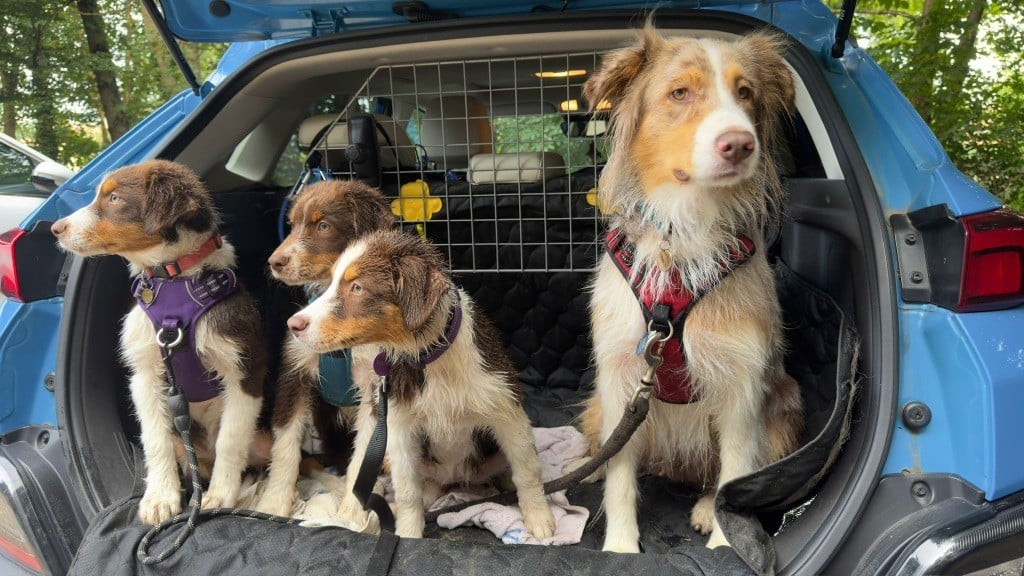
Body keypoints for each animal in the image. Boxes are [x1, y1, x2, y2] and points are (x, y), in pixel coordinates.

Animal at [50, 158, 268, 522]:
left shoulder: (245, 369)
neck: (174, 280)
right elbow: (155, 437)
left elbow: (231, 438)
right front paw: (160, 498)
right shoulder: (145, 373)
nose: (56, 228)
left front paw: (221, 495)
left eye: (114, 199)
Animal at [258, 180, 393, 516]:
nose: (275, 262)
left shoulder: (375, 385)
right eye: (292, 224)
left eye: (323, 225)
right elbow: (285, 443)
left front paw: (352, 514)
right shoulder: (294, 373)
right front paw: (275, 501)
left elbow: (366, 453)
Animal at [284, 228, 557, 537]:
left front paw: (539, 518)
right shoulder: (399, 428)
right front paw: (408, 534)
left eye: (357, 288)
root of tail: (455, 478)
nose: (293, 325)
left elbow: (527, 470)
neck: (428, 356)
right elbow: (407, 491)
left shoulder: (507, 411)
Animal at [581, 28, 802, 553]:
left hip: (784, 413)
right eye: (680, 92)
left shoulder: (743, 383)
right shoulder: (619, 379)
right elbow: (621, 474)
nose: (740, 144)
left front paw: (726, 544)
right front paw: (620, 547)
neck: (684, 231)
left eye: (746, 94)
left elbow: (736, 474)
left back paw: (703, 508)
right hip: (596, 410)